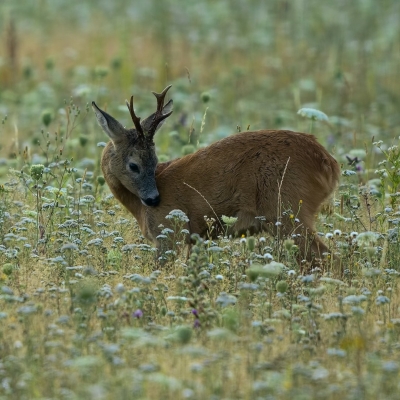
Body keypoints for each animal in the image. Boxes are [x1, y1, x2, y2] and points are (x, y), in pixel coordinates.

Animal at [92, 85, 340, 262]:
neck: (140, 210)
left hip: (288, 210)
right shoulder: (197, 238)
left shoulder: (170, 233)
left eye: (153, 162)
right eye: (135, 165)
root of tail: (329, 164)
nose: (154, 199)